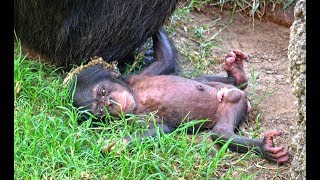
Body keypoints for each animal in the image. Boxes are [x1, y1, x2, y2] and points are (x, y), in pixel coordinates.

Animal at [70, 28, 290, 164]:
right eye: (99, 109)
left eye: (103, 91)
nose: (109, 103)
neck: (135, 95)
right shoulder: (137, 118)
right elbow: (161, 128)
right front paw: (118, 144)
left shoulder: (138, 76)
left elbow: (165, 61)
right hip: (231, 108)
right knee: (221, 133)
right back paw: (264, 147)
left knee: (205, 82)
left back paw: (235, 73)